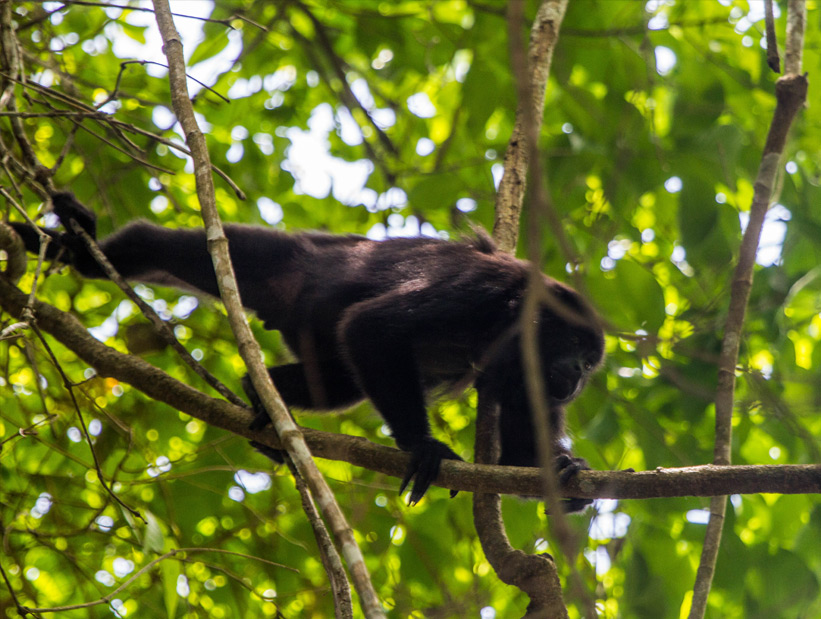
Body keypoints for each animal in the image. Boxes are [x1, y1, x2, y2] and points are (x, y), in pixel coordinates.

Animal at [9, 194, 604, 508]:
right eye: (574, 344)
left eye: (590, 362)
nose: (577, 375)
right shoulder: (479, 293)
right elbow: (373, 325)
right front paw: (423, 447)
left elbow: (521, 435)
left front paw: (561, 469)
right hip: (282, 263)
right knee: (171, 245)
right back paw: (88, 250)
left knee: (338, 387)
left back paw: (262, 401)